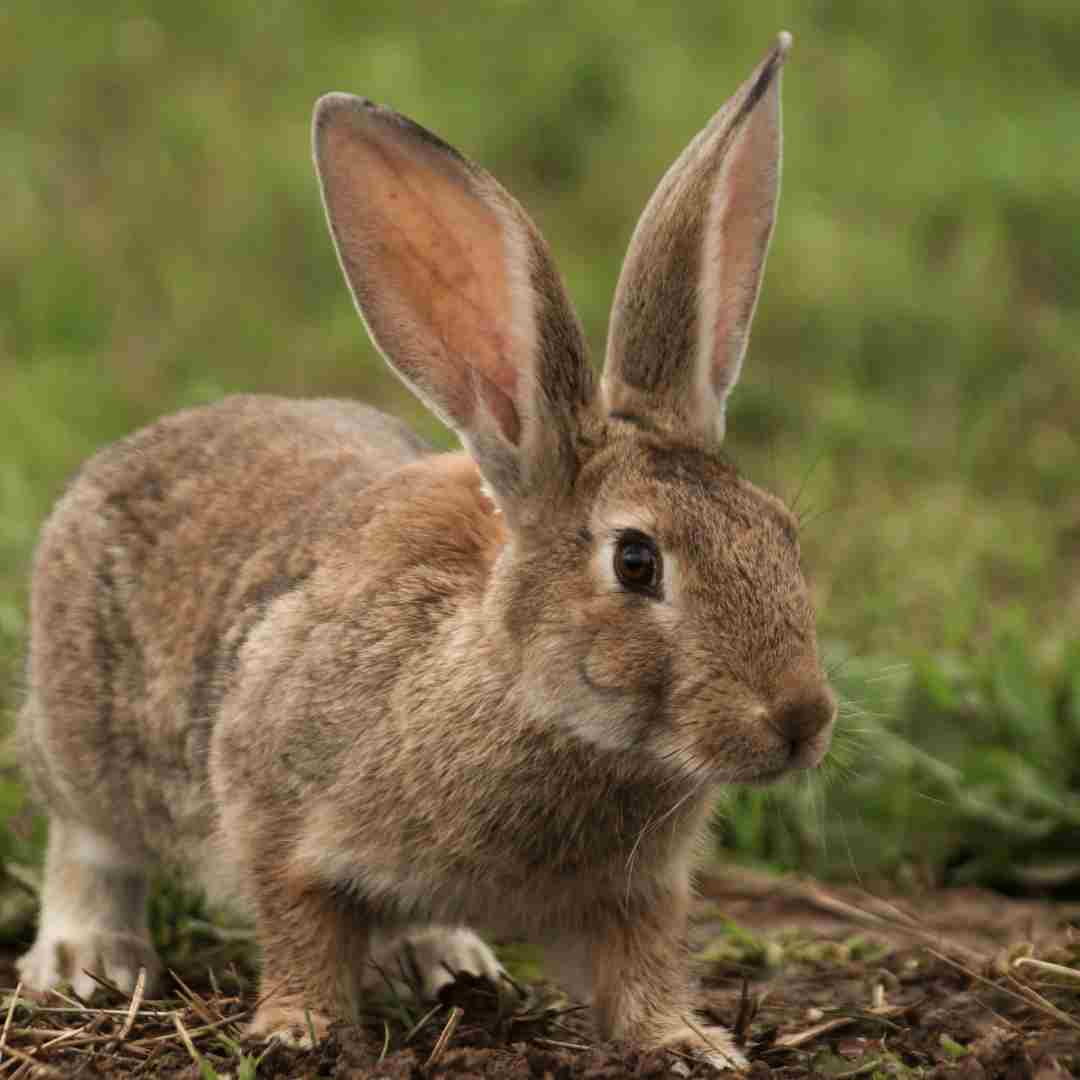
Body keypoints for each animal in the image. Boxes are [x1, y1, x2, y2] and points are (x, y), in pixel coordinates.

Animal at [16, 31, 833, 1071]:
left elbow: (643, 967)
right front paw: (301, 1033)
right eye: (636, 561)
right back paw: (87, 961)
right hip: (82, 741)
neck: (538, 707)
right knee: (85, 844)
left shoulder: (638, 894)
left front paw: (688, 1044)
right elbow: (300, 926)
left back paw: (444, 959)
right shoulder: (279, 815)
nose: (802, 720)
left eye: (783, 532)